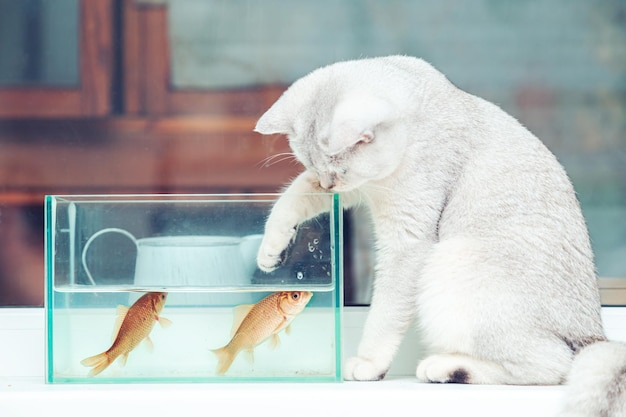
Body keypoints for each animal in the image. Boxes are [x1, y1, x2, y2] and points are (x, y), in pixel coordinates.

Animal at [252, 56, 624, 416]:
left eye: (339, 169)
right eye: (314, 167)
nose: (328, 184)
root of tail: (596, 333)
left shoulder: (407, 237)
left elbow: (384, 313)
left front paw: (369, 365)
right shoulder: (361, 189)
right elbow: (293, 195)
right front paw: (270, 251)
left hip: (450, 260)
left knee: (554, 365)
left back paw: (445, 368)